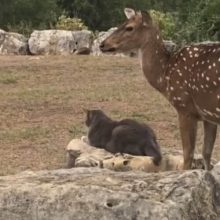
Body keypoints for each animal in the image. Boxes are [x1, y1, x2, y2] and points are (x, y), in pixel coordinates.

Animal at [100, 7, 220, 170]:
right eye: (121, 23)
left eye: (129, 27)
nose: (102, 44)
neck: (165, 76)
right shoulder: (208, 115)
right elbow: (206, 154)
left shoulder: (184, 107)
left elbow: (188, 155)